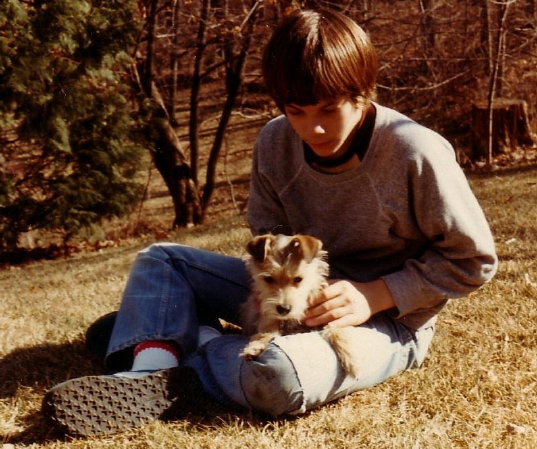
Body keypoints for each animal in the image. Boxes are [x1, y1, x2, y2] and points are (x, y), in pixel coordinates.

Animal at [242, 234, 360, 378]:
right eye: (268, 279)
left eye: (298, 279)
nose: (283, 309)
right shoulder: (268, 319)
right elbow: (265, 333)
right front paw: (255, 346)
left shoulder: (329, 314)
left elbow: (335, 328)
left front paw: (351, 358)